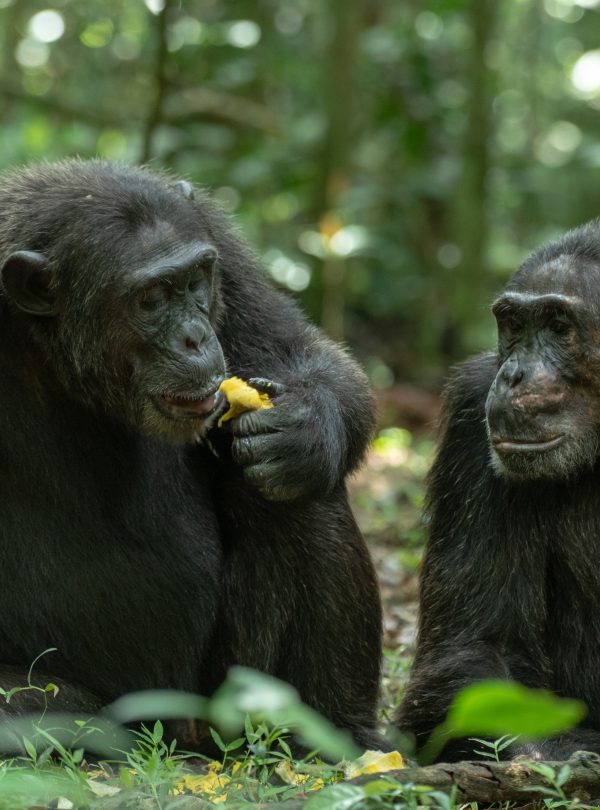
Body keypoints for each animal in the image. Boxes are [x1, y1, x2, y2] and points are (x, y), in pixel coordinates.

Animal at [0, 159, 382, 752]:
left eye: (194, 282)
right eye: (151, 298)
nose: (195, 336)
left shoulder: (225, 254)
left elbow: (303, 353)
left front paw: (303, 429)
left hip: (221, 695)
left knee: (295, 494)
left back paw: (335, 732)